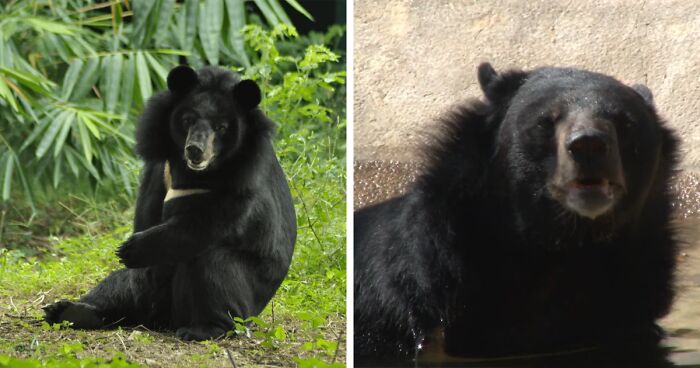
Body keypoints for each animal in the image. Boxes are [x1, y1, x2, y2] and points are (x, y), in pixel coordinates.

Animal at [43, 66, 296, 342]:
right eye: (187, 120)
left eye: (221, 127)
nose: (195, 150)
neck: (196, 173)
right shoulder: (158, 168)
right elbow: (147, 217)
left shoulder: (243, 181)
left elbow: (210, 223)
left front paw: (130, 248)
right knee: (117, 286)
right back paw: (67, 311)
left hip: (238, 299)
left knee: (214, 264)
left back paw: (204, 328)